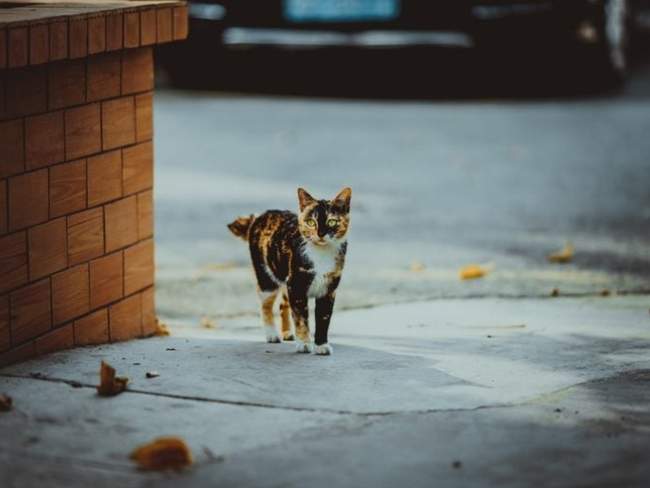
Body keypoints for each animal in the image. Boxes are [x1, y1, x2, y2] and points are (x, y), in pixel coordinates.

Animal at [227, 187, 350, 354]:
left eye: (332, 221)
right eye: (311, 222)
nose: (320, 234)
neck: (321, 255)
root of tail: (259, 217)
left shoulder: (328, 289)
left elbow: (324, 318)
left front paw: (321, 345)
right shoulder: (297, 285)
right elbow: (301, 318)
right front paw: (304, 343)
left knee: (282, 304)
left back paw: (287, 333)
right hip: (267, 277)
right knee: (265, 305)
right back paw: (272, 335)